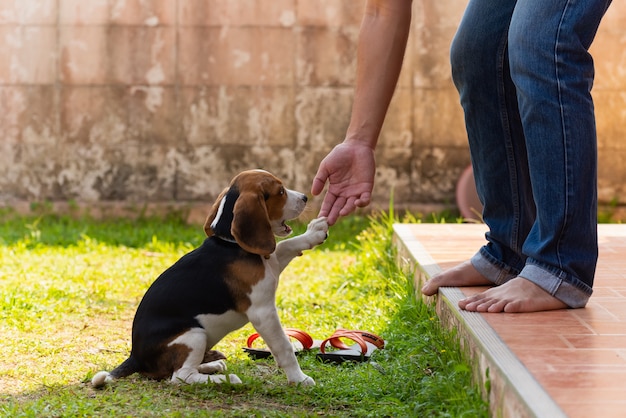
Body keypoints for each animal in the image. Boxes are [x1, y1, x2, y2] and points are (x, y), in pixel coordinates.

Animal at [94, 170, 326, 388]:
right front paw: (299, 379)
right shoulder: (263, 312)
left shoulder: (271, 264)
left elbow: (287, 245)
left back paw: (212, 365)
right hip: (194, 335)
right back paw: (226, 379)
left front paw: (314, 232)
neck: (231, 244)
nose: (305, 197)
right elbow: (284, 346)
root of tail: (135, 357)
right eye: (281, 191)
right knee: (180, 376)